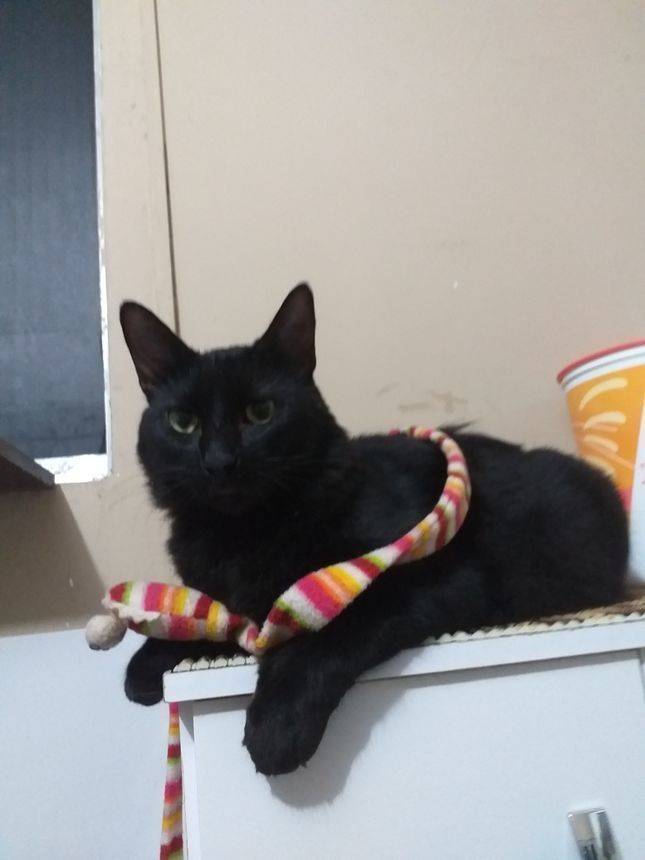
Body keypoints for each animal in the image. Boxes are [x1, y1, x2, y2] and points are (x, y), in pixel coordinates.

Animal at [120, 283, 628, 775]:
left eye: (261, 413)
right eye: (183, 423)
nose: (220, 462)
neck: (247, 534)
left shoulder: (432, 580)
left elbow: (327, 636)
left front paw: (277, 728)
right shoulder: (237, 604)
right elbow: (208, 617)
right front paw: (148, 663)